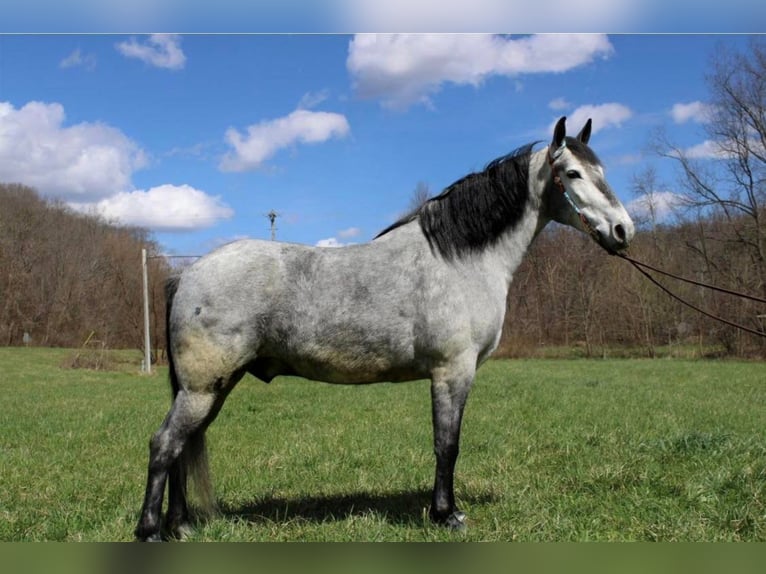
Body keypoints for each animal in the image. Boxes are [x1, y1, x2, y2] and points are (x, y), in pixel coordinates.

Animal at [136, 118, 636, 544]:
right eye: (572, 173)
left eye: (601, 171)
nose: (623, 230)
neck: (460, 259)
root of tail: (187, 274)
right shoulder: (453, 372)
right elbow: (447, 444)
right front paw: (446, 515)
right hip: (203, 388)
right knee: (164, 445)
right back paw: (150, 531)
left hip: (211, 389)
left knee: (181, 448)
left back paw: (180, 526)